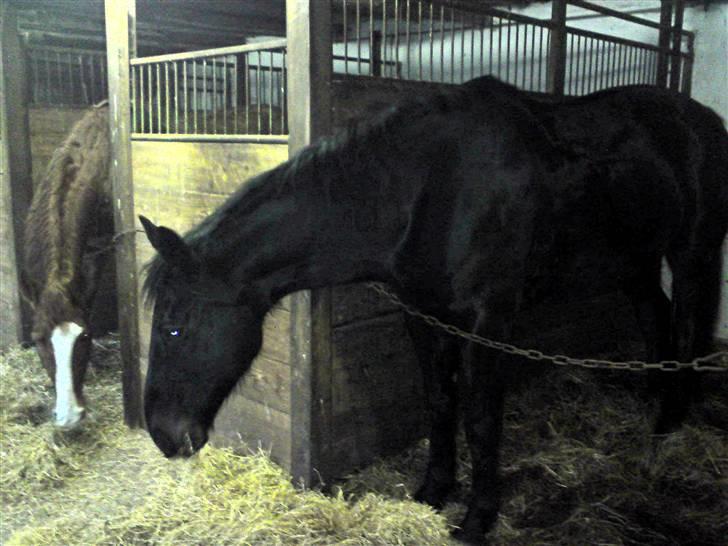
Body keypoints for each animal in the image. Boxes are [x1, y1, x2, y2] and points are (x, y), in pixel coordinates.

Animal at [139, 75, 724, 540]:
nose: (163, 435)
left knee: (687, 327)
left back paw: (667, 428)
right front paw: (433, 492)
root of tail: (702, 118)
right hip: (637, 261)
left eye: (172, 328)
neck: (425, 187)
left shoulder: (489, 320)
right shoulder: (421, 313)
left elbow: (481, 416)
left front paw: (478, 517)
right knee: (655, 317)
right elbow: (439, 402)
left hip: (692, 253)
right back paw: (653, 407)